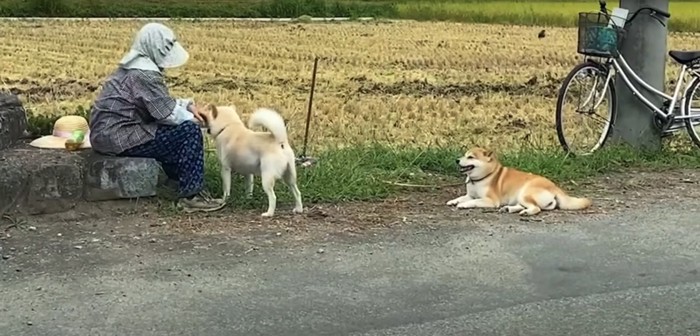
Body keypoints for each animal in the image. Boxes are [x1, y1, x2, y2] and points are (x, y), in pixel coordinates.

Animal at [448, 146, 592, 215]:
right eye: (464, 155)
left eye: (471, 157)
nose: (456, 160)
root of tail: (555, 188)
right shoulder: (470, 194)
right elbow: (462, 197)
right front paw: (453, 201)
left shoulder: (491, 200)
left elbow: (474, 201)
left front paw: (463, 205)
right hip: (520, 197)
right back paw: (509, 209)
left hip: (525, 193)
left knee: (535, 208)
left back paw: (526, 212)